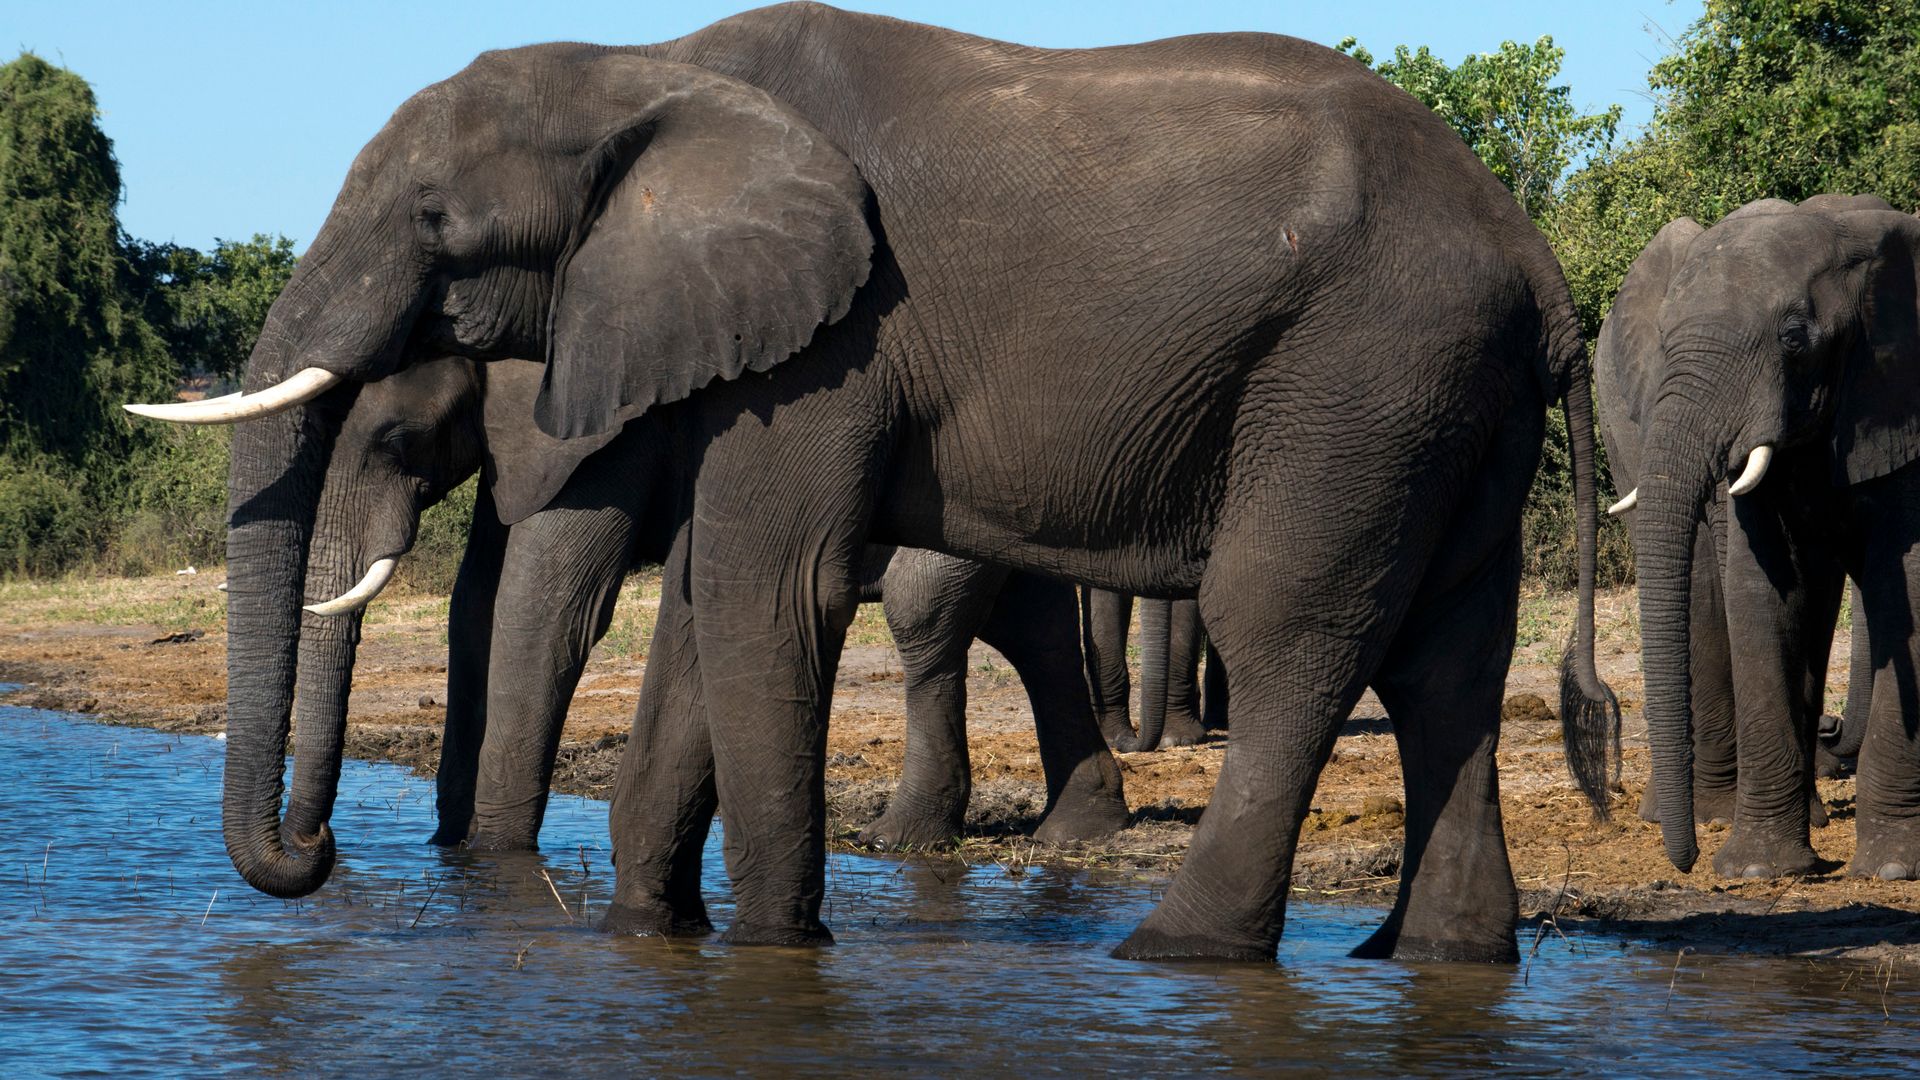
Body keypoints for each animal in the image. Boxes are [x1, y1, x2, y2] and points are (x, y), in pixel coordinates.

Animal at [1603, 194, 1920, 881]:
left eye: (1795, 339)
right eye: (1664, 342)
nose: (1685, 863)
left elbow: (1906, 585)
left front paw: (1889, 870)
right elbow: (1760, 586)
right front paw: (1759, 870)